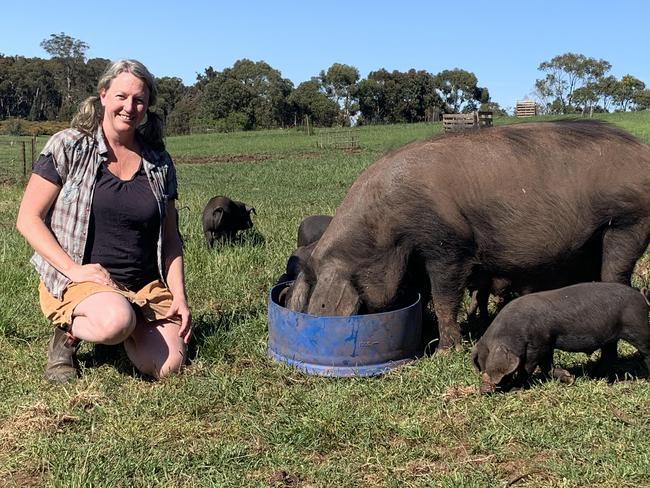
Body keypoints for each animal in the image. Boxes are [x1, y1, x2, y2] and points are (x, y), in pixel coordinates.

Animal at [470, 282, 648, 392]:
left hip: (637, 327)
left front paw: (515, 388)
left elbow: (527, 367)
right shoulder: (547, 344)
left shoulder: (538, 344)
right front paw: (570, 378)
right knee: (610, 355)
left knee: (646, 350)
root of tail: (642, 298)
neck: (514, 331)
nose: (483, 390)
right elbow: (547, 367)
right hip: (612, 338)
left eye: (490, 367)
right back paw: (595, 375)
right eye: (482, 365)